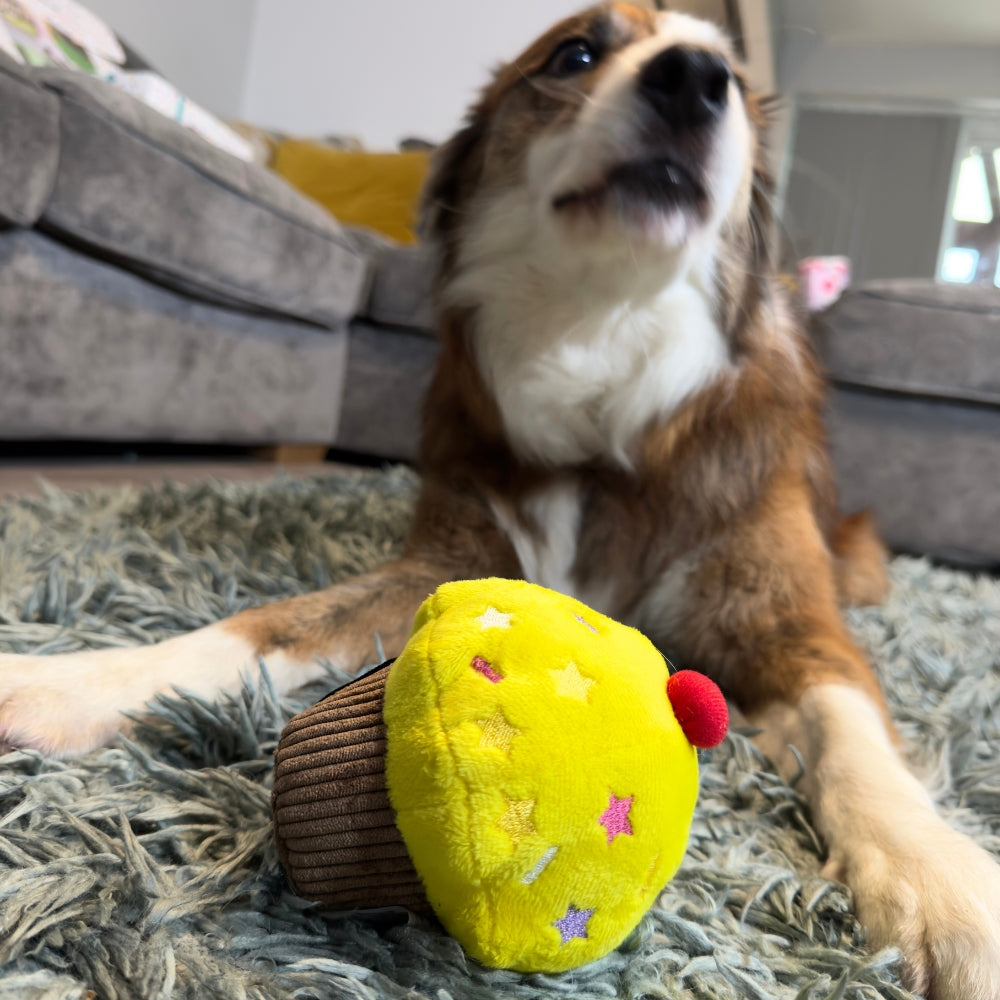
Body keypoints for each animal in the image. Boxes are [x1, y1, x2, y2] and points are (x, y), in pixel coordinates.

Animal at [1, 3, 1000, 996]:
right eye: (578, 54)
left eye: (734, 80)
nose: (692, 79)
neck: (605, 337)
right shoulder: (445, 565)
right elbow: (268, 625)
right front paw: (65, 680)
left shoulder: (784, 618)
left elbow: (851, 736)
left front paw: (944, 887)